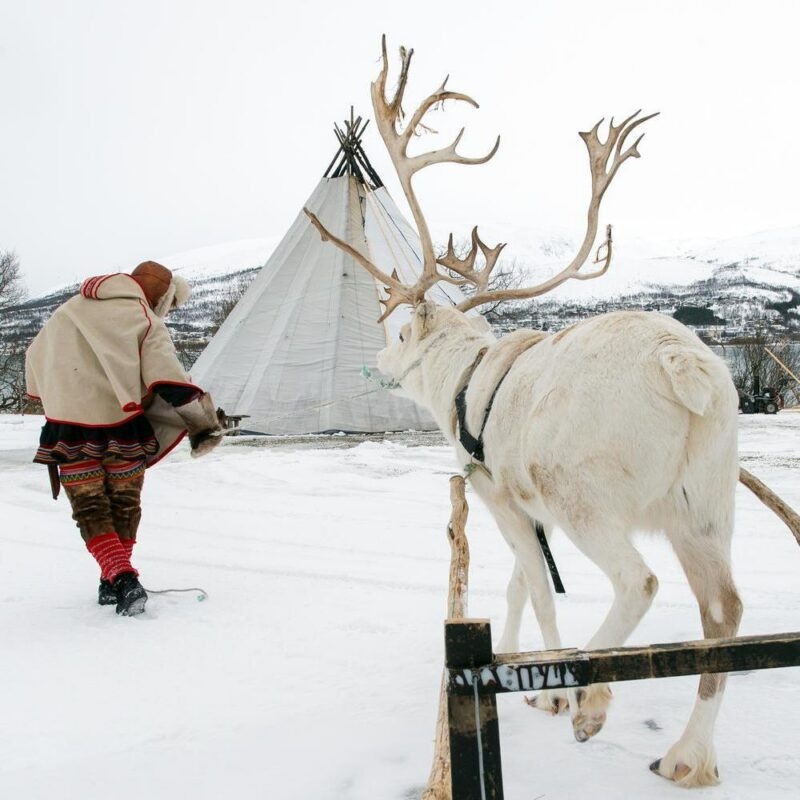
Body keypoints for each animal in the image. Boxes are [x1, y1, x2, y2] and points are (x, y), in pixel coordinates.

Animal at [304, 37, 796, 788]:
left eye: (401, 332)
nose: (378, 360)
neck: (460, 381)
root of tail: (682, 364)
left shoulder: (504, 495)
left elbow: (535, 588)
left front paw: (553, 691)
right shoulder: (533, 512)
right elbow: (515, 586)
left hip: (586, 494)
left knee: (639, 582)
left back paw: (593, 699)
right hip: (704, 505)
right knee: (725, 611)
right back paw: (688, 757)